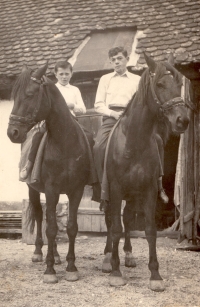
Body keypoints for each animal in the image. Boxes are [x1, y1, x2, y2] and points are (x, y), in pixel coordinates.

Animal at [101, 54, 189, 292]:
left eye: (179, 84)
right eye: (159, 84)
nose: (183, 120)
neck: (134, 142)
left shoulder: (148, 190)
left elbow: (149, 230)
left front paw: (155, 275)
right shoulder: (115, 189)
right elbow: (115, 228)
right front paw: (115, 272)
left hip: (132, 195)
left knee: (127, 219)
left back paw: (128, 255)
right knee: (111, 222)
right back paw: (107, 259)